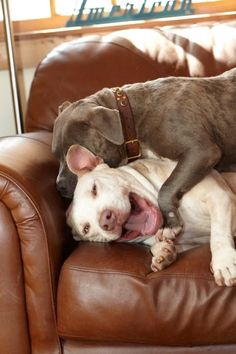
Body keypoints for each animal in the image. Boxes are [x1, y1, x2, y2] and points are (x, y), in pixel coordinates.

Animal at [52, 67, 236, 238]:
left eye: (70, 152)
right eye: (56, 155)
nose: (59, 186)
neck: (131, 119)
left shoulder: (202, 152)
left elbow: (167, 187)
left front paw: (170, 224)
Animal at [65, 144, 236, 284]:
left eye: (94, 189)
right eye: (86, 228)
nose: (106, 220)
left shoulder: (218, 197)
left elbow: (218, 236)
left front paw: (224, 262)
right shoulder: (190, 243)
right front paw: (163, 252)